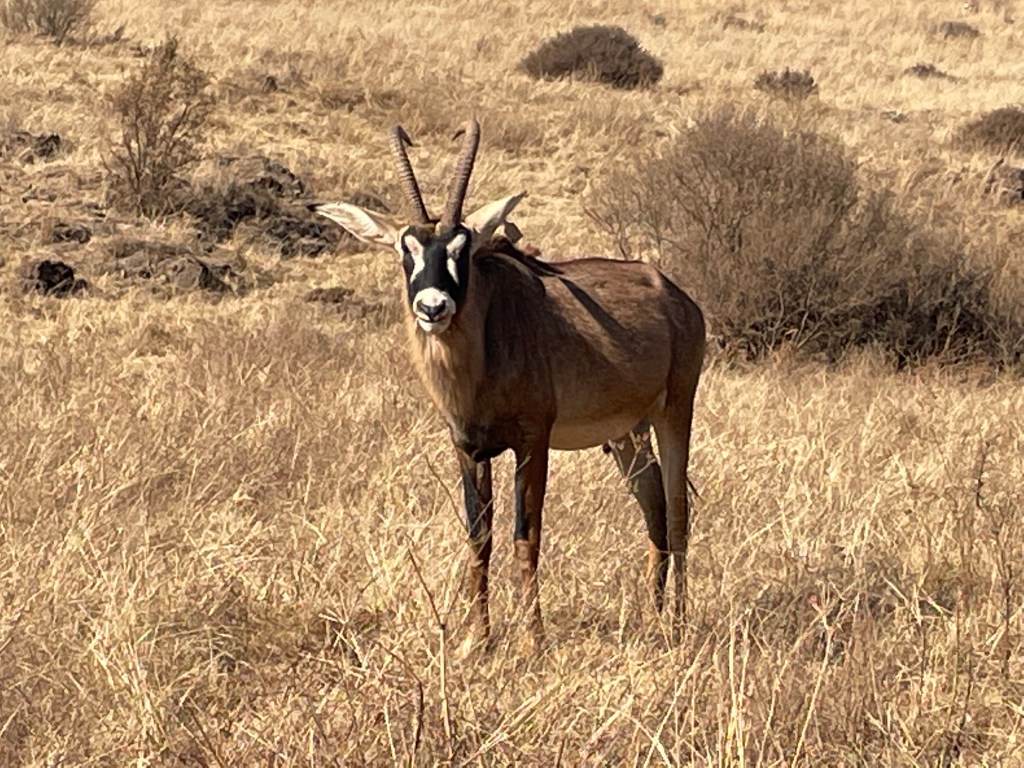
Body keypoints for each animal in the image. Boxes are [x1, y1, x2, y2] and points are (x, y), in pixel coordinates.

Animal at [314, 120, 705, 652]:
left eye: (462, 248)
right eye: (404, 249)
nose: (433, 307)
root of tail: (676, 297)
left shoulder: (532, 443)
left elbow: (526, 535)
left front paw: (533, 640)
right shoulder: (468, 449)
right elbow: (480, 538)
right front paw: (477, 641)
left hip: (674, 412)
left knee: (678, 508)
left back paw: (679, 624)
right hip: (628, 434)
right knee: (655, 508)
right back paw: (653, 614)